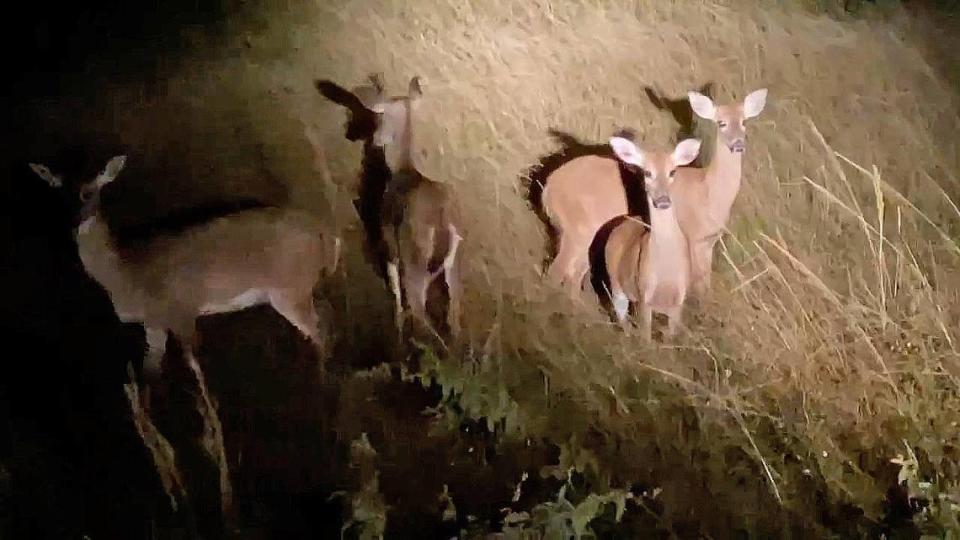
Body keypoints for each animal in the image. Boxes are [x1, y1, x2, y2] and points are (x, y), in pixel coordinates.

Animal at [316, 75, 464, 342]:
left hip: (417, 267)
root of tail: (441, 221)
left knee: (421, 316)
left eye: (379, 116)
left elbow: (395, 294)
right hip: (454, 267)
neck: (402, 167)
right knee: (454, 321)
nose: (351, 134)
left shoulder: (389, 248)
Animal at [604, 134, 700, 338]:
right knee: (622, 318)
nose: (663, 200)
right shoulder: (643, 294)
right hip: (616, 282)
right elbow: (645, 337)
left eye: (673, 171)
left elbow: (670, 337)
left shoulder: (680, 298)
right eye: (647, 173)